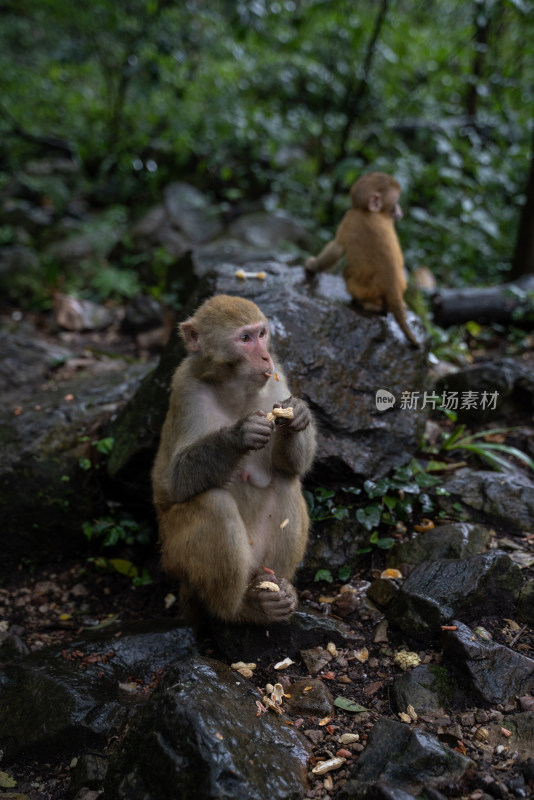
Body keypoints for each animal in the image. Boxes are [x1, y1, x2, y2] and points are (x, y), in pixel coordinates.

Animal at [152, 294, 318, 624]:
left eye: (262, 334)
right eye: (244, 339)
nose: (265, 358)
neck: (232, 391)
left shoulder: (275, 382)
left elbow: (290, 467)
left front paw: (298, 414)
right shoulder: (186, 389)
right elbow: (176, 479)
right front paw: (239, 435)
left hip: (258, 558)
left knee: (286, 483)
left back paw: (279, 591)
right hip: (175, 557)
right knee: (213, 503)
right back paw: (241, 607)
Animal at [308, 172, 420, 346]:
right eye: (396, 203)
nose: (400, 211)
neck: (368, 211)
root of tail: (393, 289)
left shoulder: (349, 218)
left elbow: (337, 247)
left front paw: (312, 266)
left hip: (361, 288)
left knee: (346, 272)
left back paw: (368, 305)